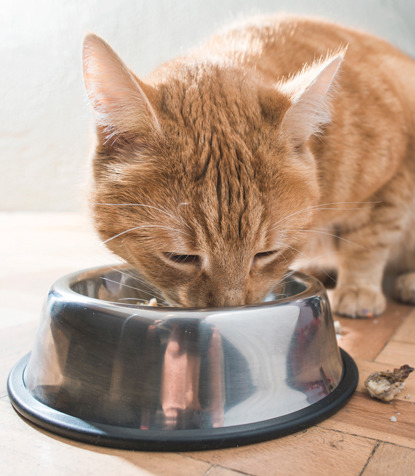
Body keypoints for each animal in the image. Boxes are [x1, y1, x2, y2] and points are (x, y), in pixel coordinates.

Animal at [83, 14, 415, 316]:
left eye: (266, 254)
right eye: (179, 257)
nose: (229, 307)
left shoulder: (396, 177)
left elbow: (368, 241)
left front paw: (358, 288)